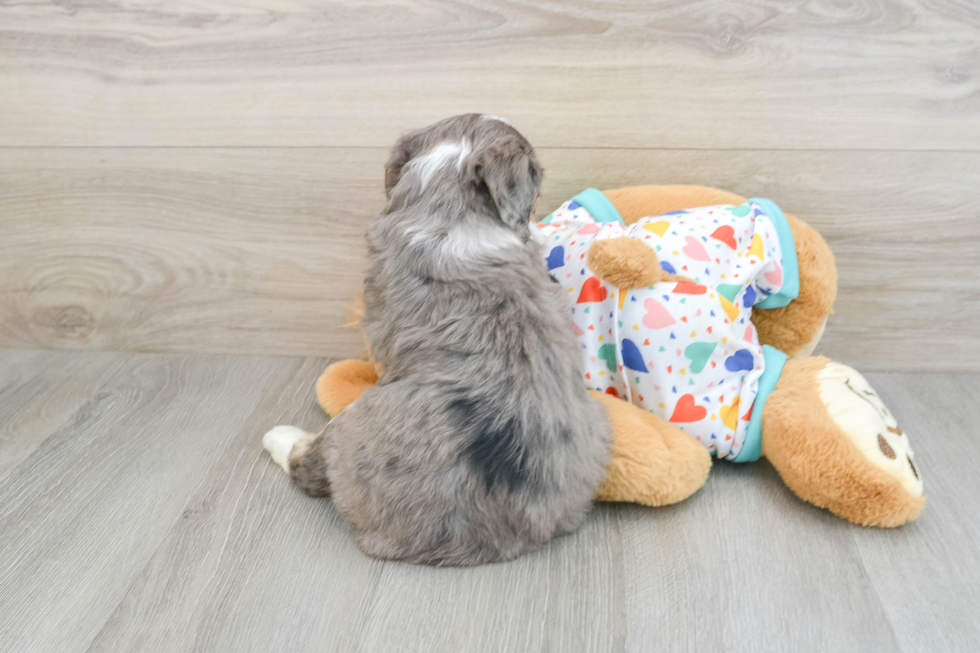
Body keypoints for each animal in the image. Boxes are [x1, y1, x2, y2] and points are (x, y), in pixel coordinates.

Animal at [264, 114, 608, 564]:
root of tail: (492, 537)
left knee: (310, 463)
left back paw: (281, 438)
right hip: (598, 419)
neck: (452, 204)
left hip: (349, 428)